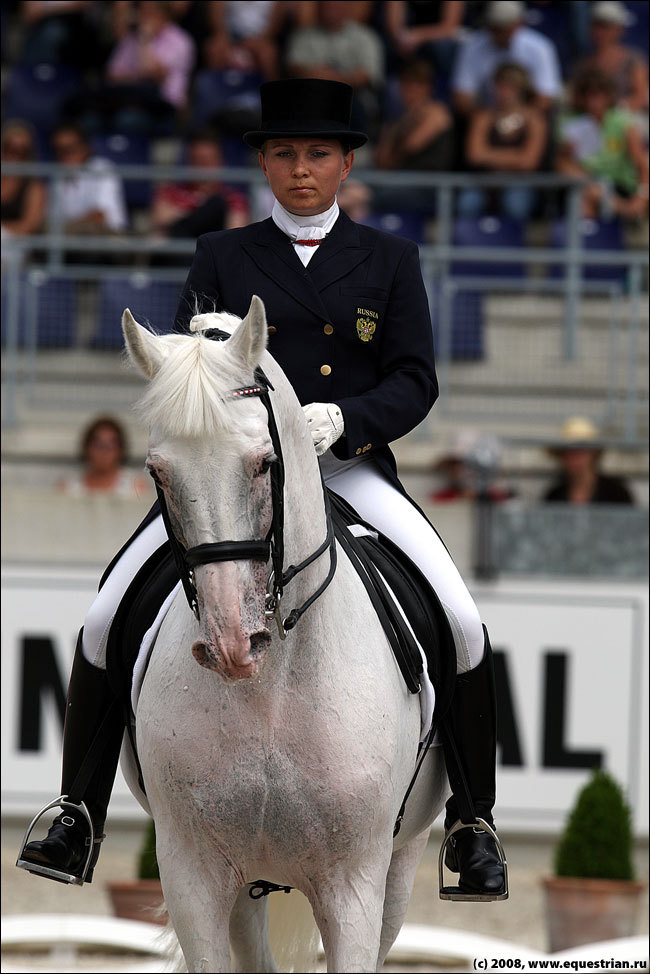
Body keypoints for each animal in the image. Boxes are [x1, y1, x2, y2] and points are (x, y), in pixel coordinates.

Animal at [120, 300, 446, 974]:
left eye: (264, 464)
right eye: (157, 472)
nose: (231, 647)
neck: (269, 691)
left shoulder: (355, 883)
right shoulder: (192, 874)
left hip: (403, 862)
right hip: (246, 882)